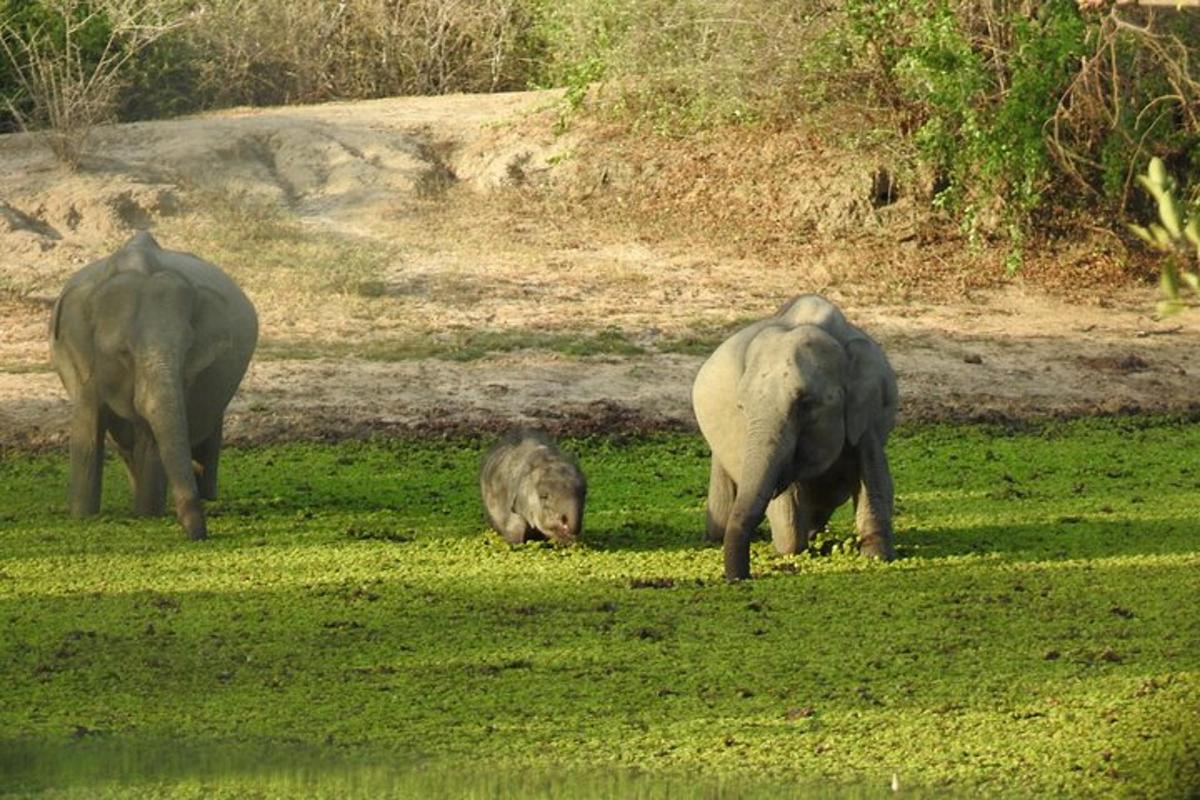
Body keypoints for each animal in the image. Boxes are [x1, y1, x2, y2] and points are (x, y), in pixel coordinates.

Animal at [49, 232, 258, 544]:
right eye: (123, 352)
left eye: (188, 350)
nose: (200, 537)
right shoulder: (81, 360)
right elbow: (87, 431)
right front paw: (82, 517)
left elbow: (151, 436)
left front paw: (147, 515)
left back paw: (205, 496)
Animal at [691, 293, 897, 582]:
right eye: (742, 407)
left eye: (805, 404)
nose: (739, 578)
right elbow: (788, 520)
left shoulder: (869, 412)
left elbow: (874, 471)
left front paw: (876, 556)